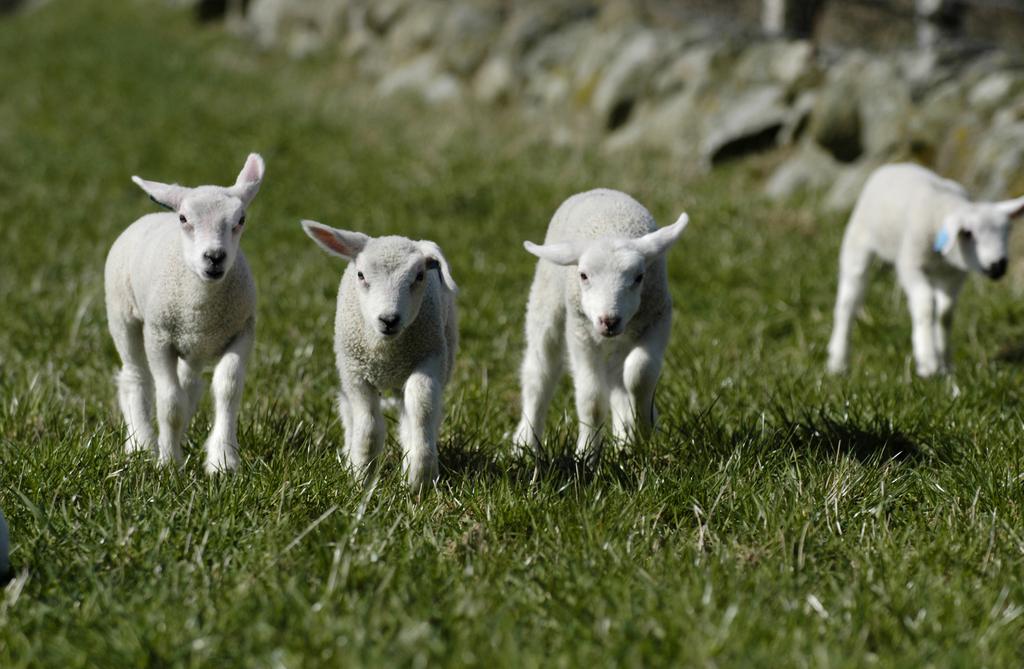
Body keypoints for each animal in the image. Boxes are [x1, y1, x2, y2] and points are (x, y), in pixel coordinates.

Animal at [102, 153, 264, 471]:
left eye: (240, 220)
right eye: (184, 219)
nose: (214, 257)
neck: (202, 304)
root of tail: (152, 216)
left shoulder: (241, 332)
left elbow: (227, 389)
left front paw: (223, 460)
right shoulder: (159, 338)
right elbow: (170, 402)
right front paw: (168, 463)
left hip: (194, 345)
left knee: (190, 384)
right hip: (122, 314)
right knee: (135, 377)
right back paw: (142, 443)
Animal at [299, 220, 460, 489]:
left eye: (419, 276)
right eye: (361, 275)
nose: (389, 319)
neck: (386, 352)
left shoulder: (430, 360)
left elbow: (421, 408)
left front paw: (420, 476)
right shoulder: (355, 373)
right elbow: (369, 425)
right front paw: (361, 476)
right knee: (349, 411)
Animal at [509, 186, 688, 458]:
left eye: (639, 277)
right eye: (583, 275)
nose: (608, 320)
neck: (612, 228)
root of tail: (599, 190)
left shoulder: (658, 318)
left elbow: (640, 372)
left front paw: (645, 428)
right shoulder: (581, 332)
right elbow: (591, 399)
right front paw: (586, 453)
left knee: (617, 377)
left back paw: (625, 440)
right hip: (546, 303)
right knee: (539, 373)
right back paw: (525, 443)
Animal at [827, 161, 1019, 374]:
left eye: (1008, 230)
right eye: (968, 233)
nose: (998, 265)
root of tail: (895, 165)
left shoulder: (954, 276)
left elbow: (946, 314)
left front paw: (944, 362)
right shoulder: (910, 265)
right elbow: (926, 305)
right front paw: (928, 361)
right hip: (858, 242)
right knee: (847, 303)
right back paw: (838, 362)